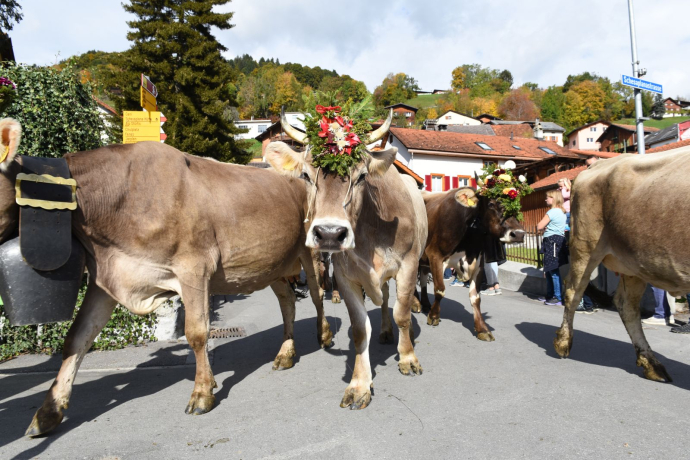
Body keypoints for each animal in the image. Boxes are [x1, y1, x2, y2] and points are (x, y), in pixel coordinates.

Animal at [0, 118, 334, 437]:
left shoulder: (194, 266)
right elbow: (77, 339)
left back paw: (324, 335)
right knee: (287, 300)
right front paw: (48, 412)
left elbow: (196, 333)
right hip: (270, 262)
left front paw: (202, 394)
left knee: (317, 294)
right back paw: (285, 354)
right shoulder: (109, 277)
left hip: (310, 251)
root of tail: (298, 175)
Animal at [267, 110, 428, 409]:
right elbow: (360, 329)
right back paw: (385, 331)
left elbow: (402, 314)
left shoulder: (408, 266)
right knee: (384, 299)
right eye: (306, 175)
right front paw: (359, 384)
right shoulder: (346, 277)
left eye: (362, 176)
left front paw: (408, 358)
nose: (330, 233)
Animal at [415, 187, 525, 340]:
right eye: (491, 204)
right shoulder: (435, 256)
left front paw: (482, 328)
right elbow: (439, 290)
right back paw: (415, 304)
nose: (519, 234)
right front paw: (434, 316)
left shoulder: (478, 264)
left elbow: (475, 298)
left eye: (518, 204)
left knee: (423, 278)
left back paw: (425, 304)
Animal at [554, 148, 690, 382]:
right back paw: (563, 343)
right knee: (573, 290)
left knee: (626, 305)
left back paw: (651, 364)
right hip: (586, 245)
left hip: (634, 260)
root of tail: (595, 166)